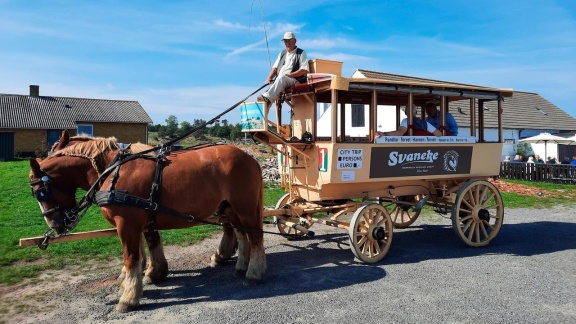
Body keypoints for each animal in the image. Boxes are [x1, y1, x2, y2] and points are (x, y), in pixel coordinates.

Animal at [28, 130, 266, 312]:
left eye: (40, 192)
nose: (56, 225)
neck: (114, 169)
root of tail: (250, 159)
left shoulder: (126, 222)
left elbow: (131, 257)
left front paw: (129, 296)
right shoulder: (142, 218)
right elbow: (149, 244)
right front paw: (152, 273)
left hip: (243, 207)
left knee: (254, 236)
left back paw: (253, 273)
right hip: (229, 208)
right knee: (241, 234)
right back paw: (241, 265)